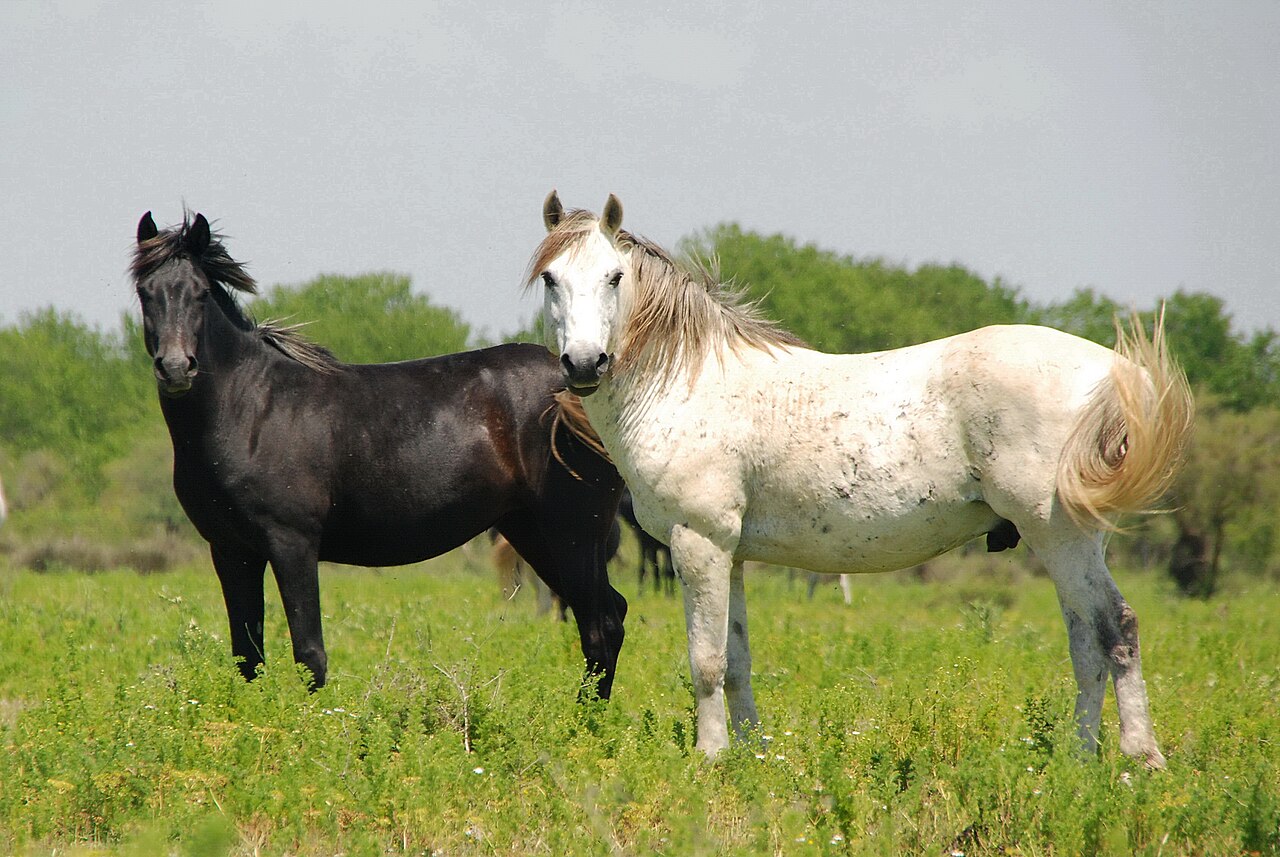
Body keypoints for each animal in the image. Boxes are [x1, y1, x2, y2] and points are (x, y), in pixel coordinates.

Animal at [132, 210, 627, 697]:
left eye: (199, 293)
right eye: (145, 292)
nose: (175, 369)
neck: (250, 406)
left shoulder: (292, 543)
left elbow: (309, 655)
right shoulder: (231, 550)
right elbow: (247, 657)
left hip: (575, 533)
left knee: (600, 624)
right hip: (532, 532)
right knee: (607, 615)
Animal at [526, 192, 1194, 766]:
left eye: (614, 277)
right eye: (551, 278)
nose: (583, 364)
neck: (688, 382)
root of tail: (1112, 372)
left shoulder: (699, 545)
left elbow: (707, 661)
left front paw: (710, 757)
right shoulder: (730, 555)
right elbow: (738, 661)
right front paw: (750, 757)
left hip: (1060, 536)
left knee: (1116, 628)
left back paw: (1140, 758)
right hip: (1067, 542)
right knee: (1086, 645)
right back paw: (1078, 761)